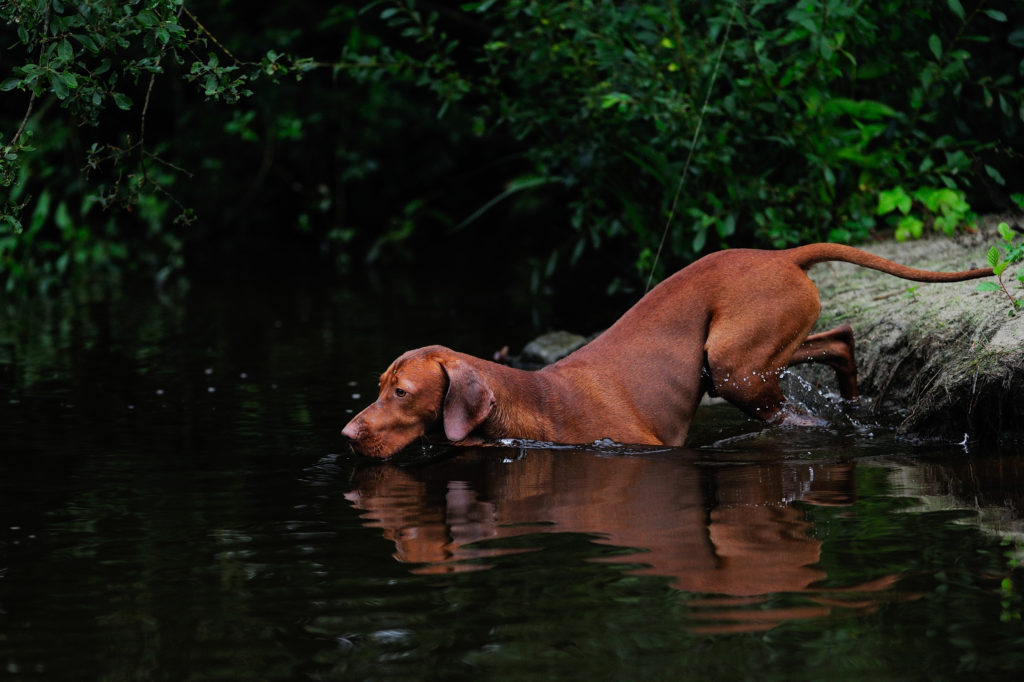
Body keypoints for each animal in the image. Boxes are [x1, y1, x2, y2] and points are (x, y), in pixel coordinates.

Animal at [344, 241, 991, 454]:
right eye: (377, 387)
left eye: (401, 393)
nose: (346, 435)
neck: (522, 397)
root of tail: (783, 255)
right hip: (760, 356)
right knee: (841, 340)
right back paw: (854, 404)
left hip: (735, 368)